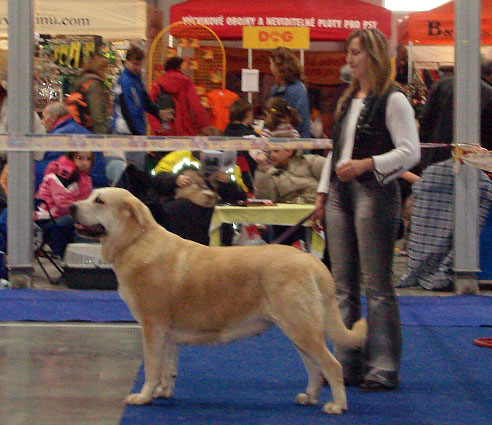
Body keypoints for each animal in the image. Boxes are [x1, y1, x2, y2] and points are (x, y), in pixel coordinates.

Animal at [71, 188, 368, 414]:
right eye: (90, 195)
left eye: (99, 201)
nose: (72, 207)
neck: (134, 242)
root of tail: (314, 263)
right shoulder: (167, 332)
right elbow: (168, 366)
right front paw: (163, 392)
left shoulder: (152, 325)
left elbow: (153, 367)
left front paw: (143, 396)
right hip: (298, 329)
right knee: (315, 368)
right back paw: (309, 397)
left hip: (301, 326)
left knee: (331, 365)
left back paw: (337, 406)